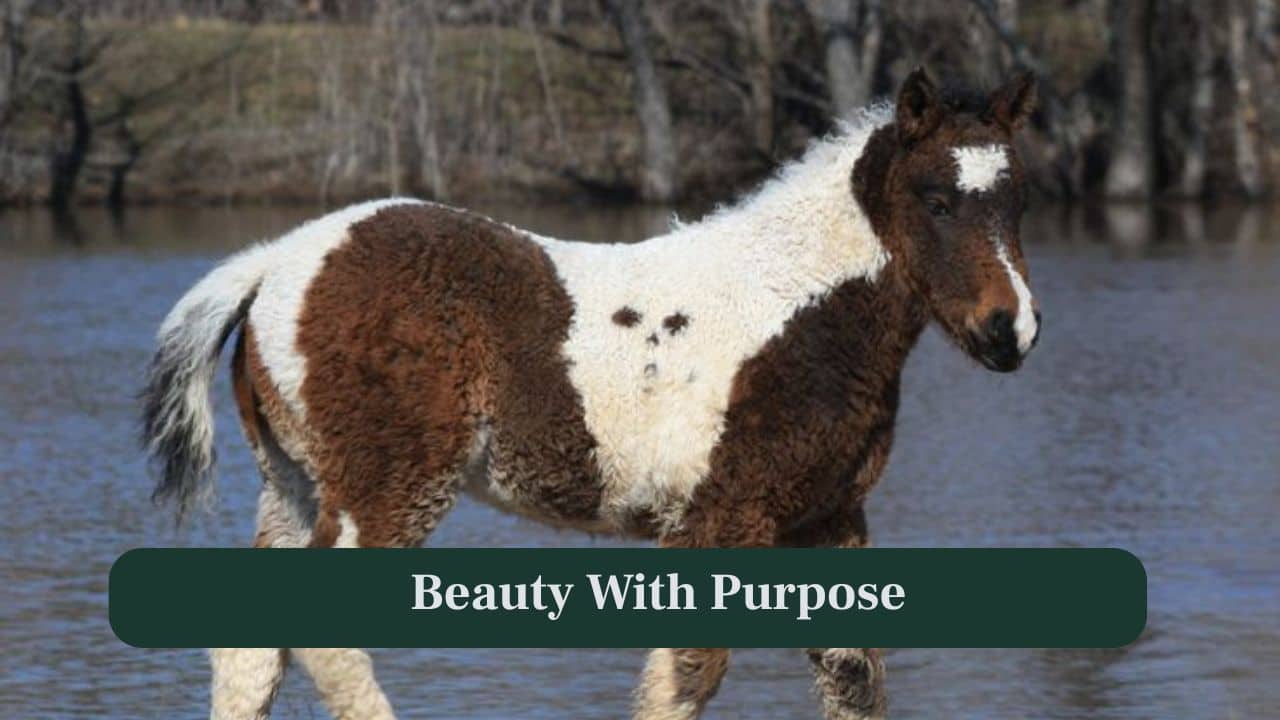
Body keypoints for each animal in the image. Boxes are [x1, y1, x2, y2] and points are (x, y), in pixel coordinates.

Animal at [141, 67, 1040, 720]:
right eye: (935, 200)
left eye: (1019, 202)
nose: (1011, 330)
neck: (795, 304)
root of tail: (275, 261)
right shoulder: (722, 517)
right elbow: (686, 677)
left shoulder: (826, 518)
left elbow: (855, 675)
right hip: (388, 486)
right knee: (324, 641)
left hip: (293, 484)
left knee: (250, 651)